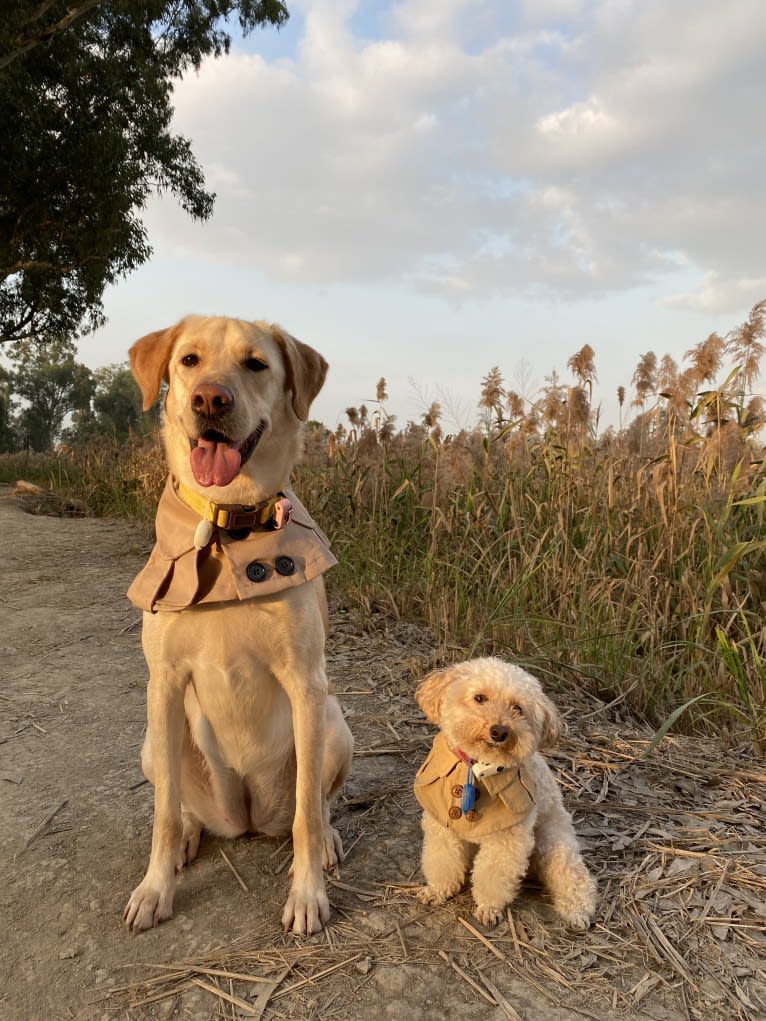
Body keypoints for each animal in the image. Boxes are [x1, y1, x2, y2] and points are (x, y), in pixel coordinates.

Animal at [124, 316, 355, 935]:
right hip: (155, 741)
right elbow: (160, 814)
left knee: (314, 804)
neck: (230, 526)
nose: (210, 399)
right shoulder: (164, 682)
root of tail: (246, 815)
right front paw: (155, 888)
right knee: (181, 806)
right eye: (189, 360)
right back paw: (189, 836)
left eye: (256, 364)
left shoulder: (305, 683)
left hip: (333, 722)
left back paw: (326, 840)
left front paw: (307, 894)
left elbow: (305, 815)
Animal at [414, 657, 600, 931]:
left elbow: (492, 876)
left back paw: (577, 911)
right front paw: (437, 890)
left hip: (553, 844)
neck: (476, 769)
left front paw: (488, 908)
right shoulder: (443, 828)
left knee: (574, 876)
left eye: (518, 709)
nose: (499, 731)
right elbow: (443, 862)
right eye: (480, 698)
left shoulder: (507, 840)